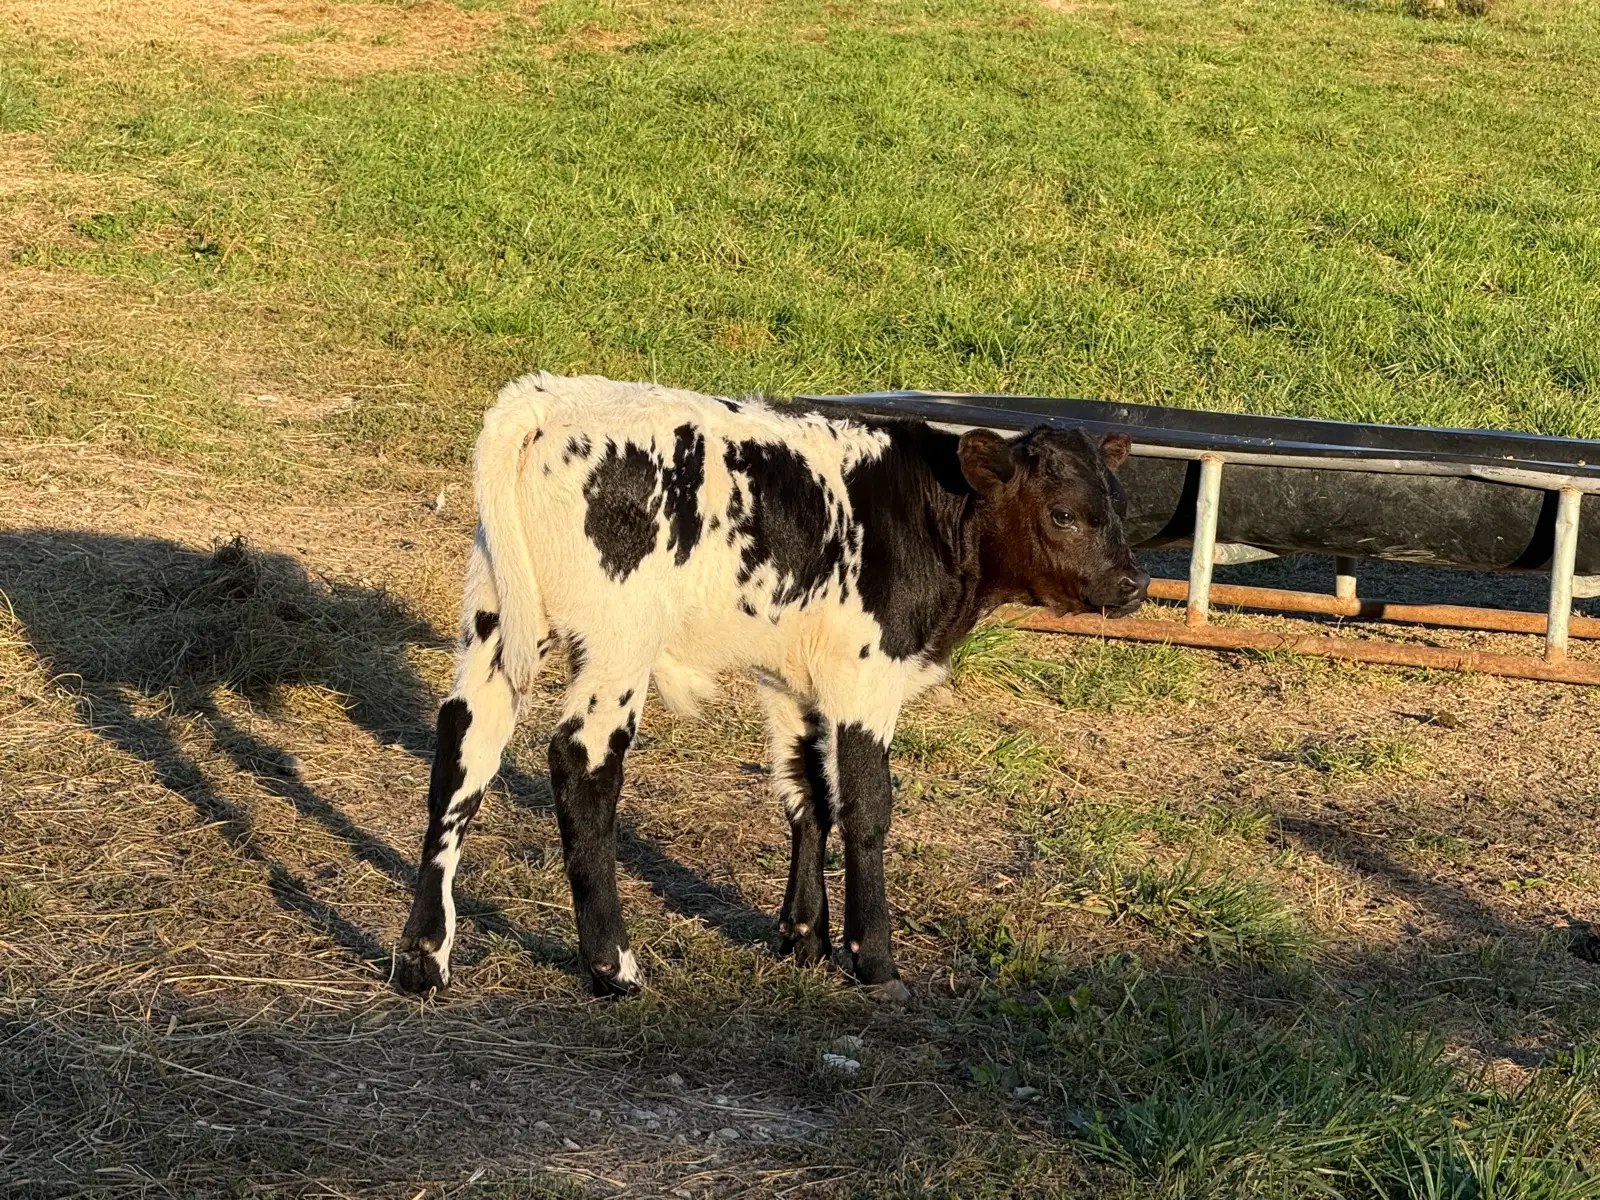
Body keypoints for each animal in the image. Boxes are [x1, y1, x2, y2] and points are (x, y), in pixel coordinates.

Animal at [395, 373, 1147, 999]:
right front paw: (874, 960)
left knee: (463, 748)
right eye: (1063, 513)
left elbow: (806, 794)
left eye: (1120, 507)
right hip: (618, 644)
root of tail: (548, 398)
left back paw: (424, 958)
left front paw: (803, 939)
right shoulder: (865, 678)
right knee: (582, 764)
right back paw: (613, 966)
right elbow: (866, 807)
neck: (930, 516)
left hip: (495, 622)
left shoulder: (796, 682)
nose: (1132, 584)